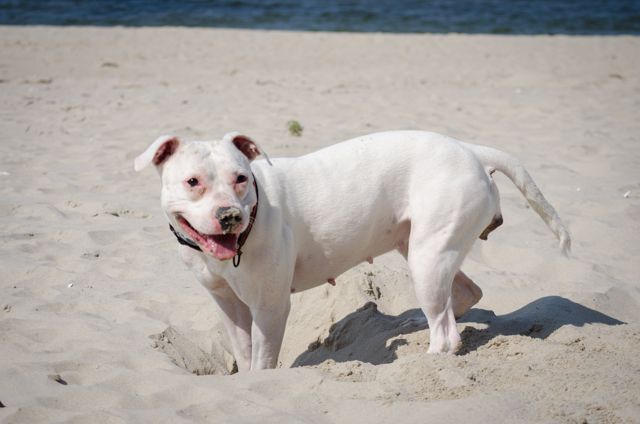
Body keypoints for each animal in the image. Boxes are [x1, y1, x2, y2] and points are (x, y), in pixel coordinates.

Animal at [135, 130, 570, 371]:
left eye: (241, 178)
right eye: (193, 182)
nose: (229, 216)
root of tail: (470, 150)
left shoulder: (270, 306)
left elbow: (263, 359)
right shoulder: (229, 306)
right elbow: (244, 353)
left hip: (428, 256)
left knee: (447, 333)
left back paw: (425, 361)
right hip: (420, 247)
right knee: (463, 294)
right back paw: (413, 324)